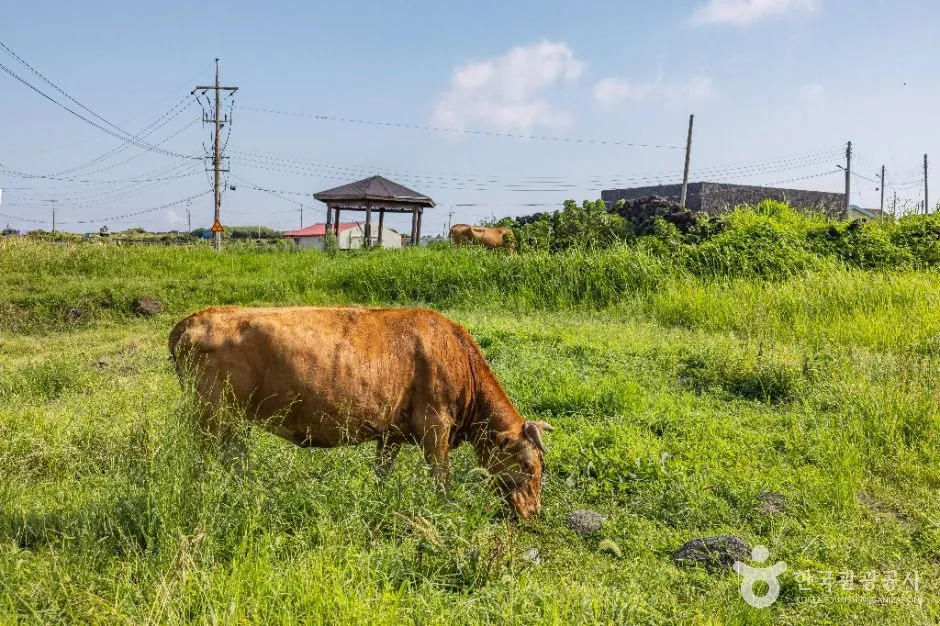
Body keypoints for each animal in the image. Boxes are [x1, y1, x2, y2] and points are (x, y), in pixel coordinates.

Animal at [168, 305, 555, 519]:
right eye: (528, 466)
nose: (534, 512)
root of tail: (192, 319)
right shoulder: (435, 424)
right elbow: (440, 476)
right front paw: (447, 509)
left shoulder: (392, 432)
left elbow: (382, 472)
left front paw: (378, 498)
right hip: (211, 412)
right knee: (202, 460)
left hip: (231, 417)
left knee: (235, 456)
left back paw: (249, 492)